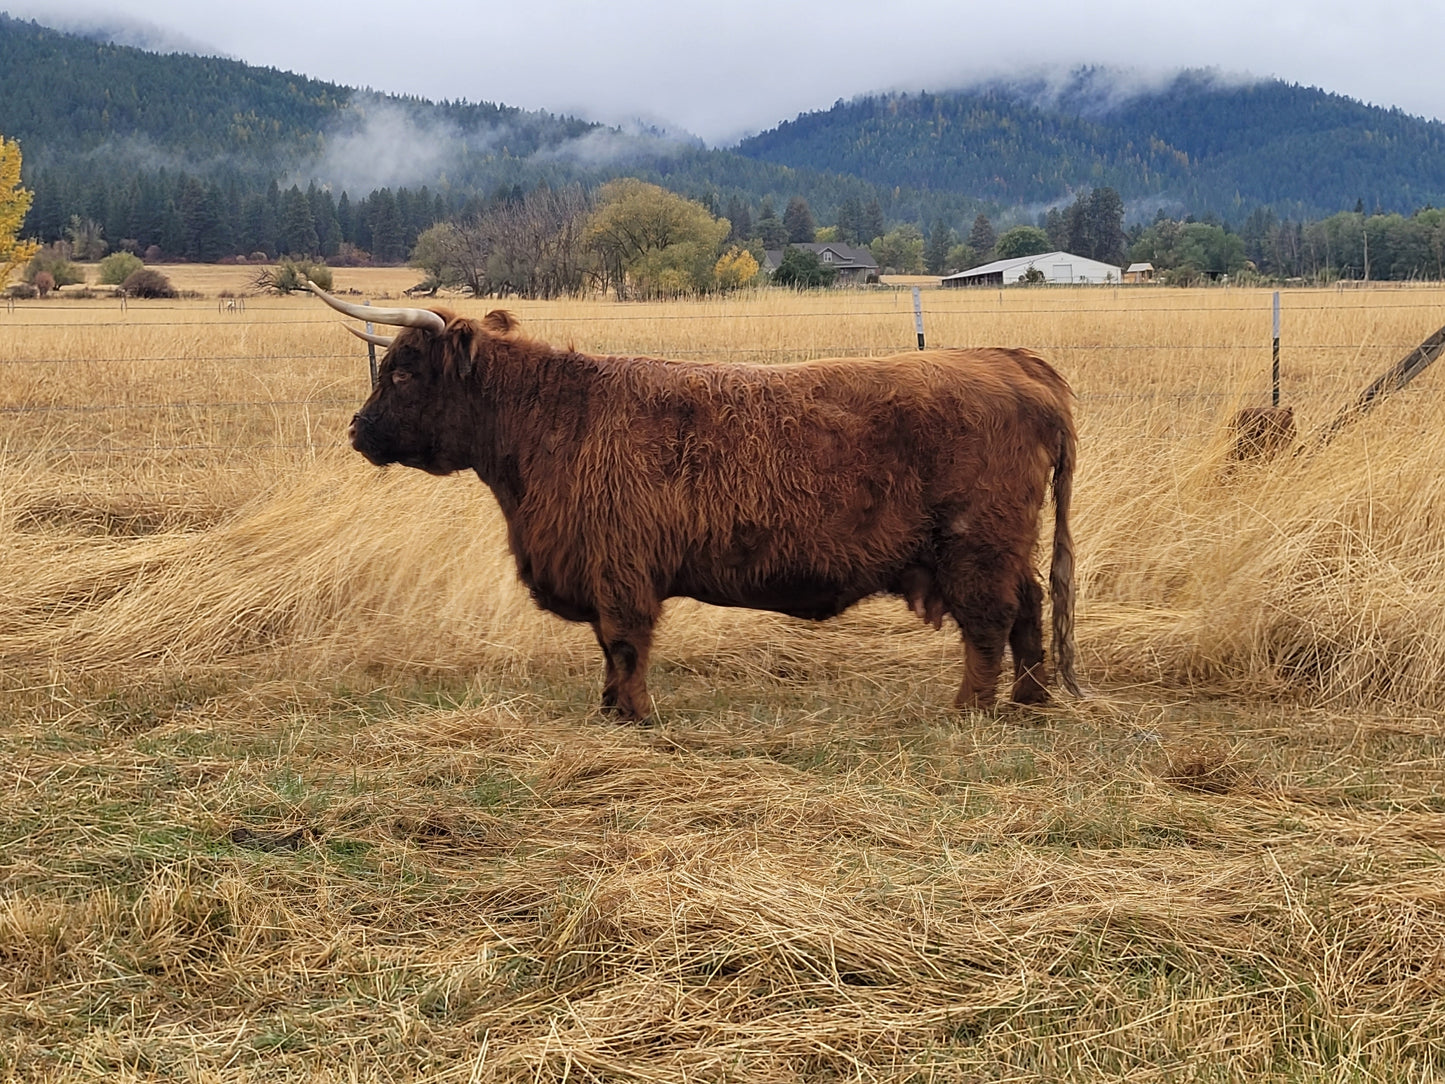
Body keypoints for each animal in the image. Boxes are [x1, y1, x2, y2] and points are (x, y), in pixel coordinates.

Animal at [310, 281, 1080, 722]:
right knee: (1031, 605)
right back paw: (1030, 699)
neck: (545, 426)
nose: (358, 430)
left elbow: (625, 642)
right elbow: (607, 647)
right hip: (1003, 544)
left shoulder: (618, 567)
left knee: (989, 620)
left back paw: (969, 709)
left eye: (404, 372)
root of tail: (1014, 360)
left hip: (975, 543)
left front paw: (636, 715)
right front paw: (609, 709)